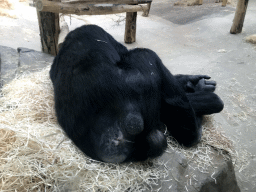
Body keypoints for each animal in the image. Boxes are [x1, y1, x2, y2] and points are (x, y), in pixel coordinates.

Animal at [50, 24, 224, 164]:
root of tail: (114, 143)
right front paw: (194, 84)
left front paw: (192, 83)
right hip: (138, 88)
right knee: (146, 56)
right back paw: (205, 111)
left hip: (138, 149)